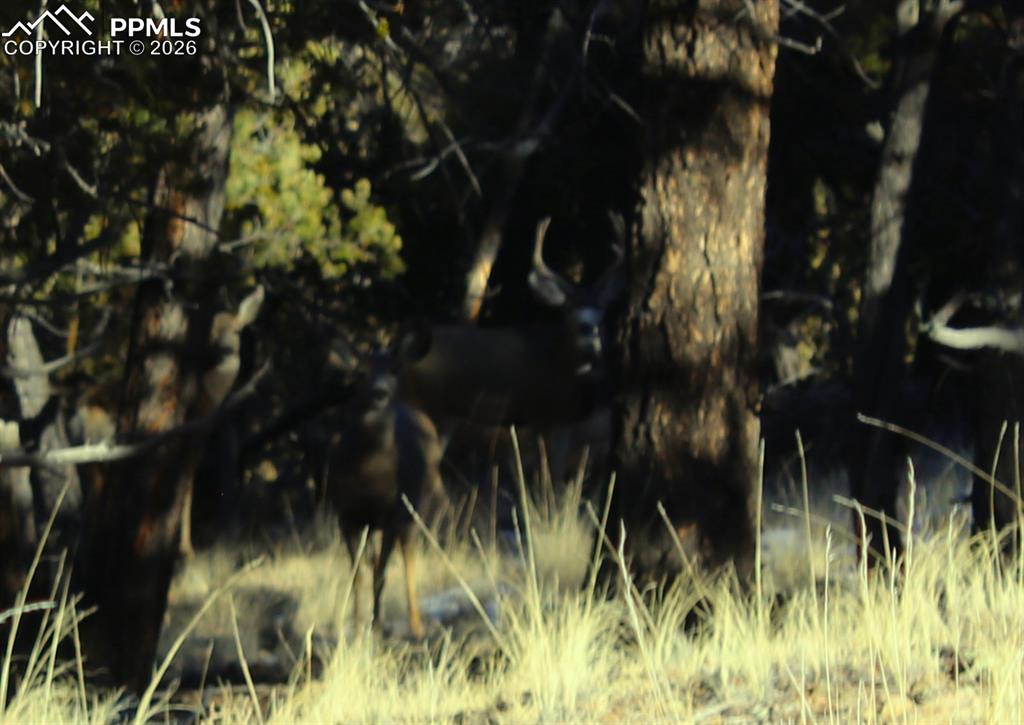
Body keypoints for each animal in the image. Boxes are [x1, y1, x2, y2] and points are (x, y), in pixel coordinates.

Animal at [325, 326, 445, 639]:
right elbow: (359, 573)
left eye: (394, 369)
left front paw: (377, 625)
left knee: (409, 558)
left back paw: (416, 625)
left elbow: (381, 573)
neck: (369, 474)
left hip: (418, 508)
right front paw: (357, 626)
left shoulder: (394, 512)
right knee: (376, 559)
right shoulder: (347, 516)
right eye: (360, 371)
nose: (380, 393)